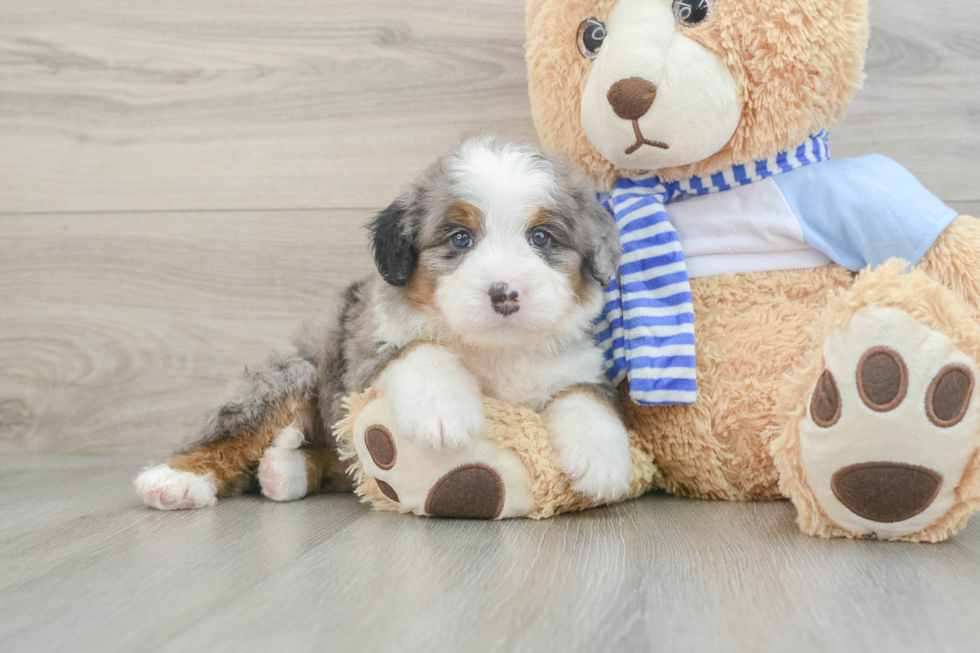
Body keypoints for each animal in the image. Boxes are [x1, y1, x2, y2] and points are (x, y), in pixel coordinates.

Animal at [134, 135, 632, 506]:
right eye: (460, 238)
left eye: (541, 237)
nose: (504, 294)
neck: (494, 348)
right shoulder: (364, 357)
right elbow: (420, 348)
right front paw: (443, 412)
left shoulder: (580, 364)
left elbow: (585, 395)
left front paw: (602, 458)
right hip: (292, 375)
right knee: (226, 436)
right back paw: (174, 481)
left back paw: (284, 472)